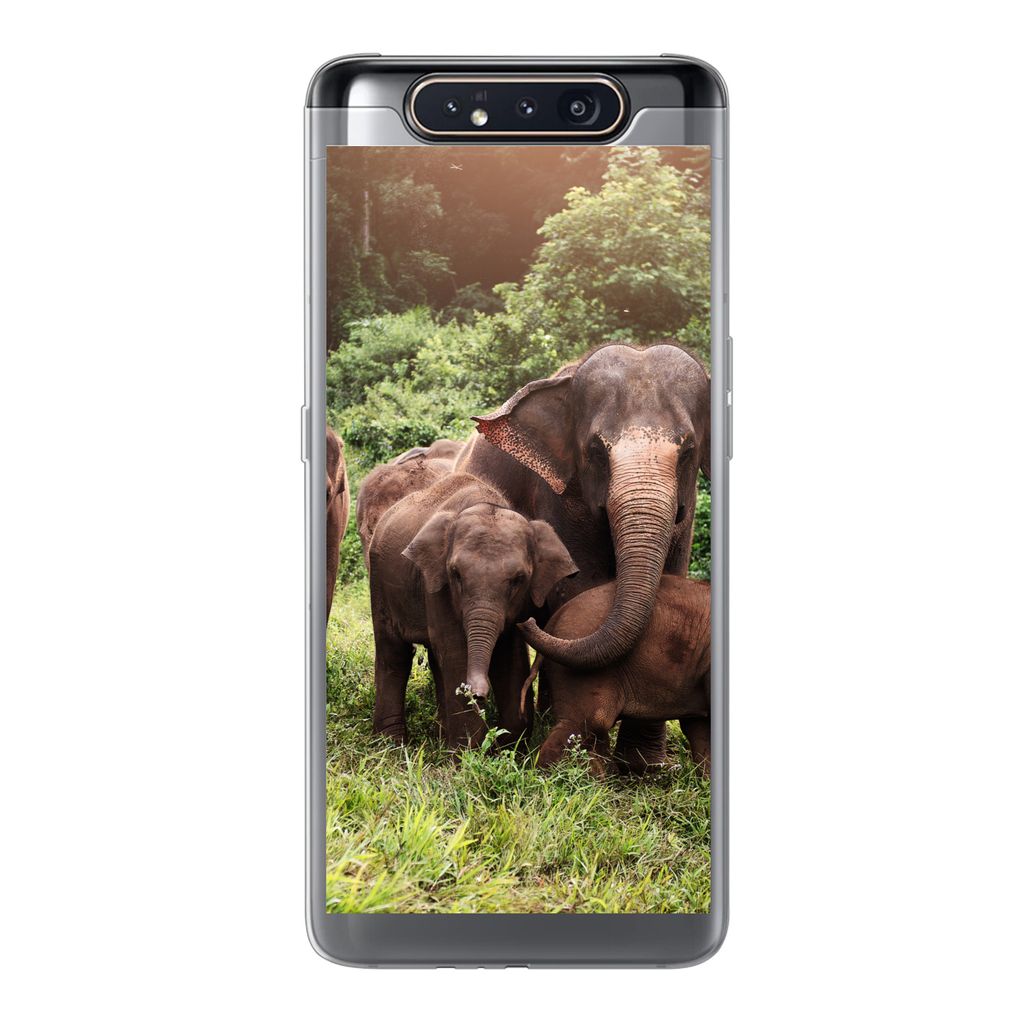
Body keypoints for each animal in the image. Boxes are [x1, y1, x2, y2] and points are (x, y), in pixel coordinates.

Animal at [368, 472, 577, 750]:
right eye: (456, 574)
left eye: (518, 579)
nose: (478, 693)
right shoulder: (436, 585)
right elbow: (457, 652)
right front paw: (466, 754)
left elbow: (510, 655)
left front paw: (509, 748)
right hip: (379, 581)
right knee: (394, 652)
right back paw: (391, 745)